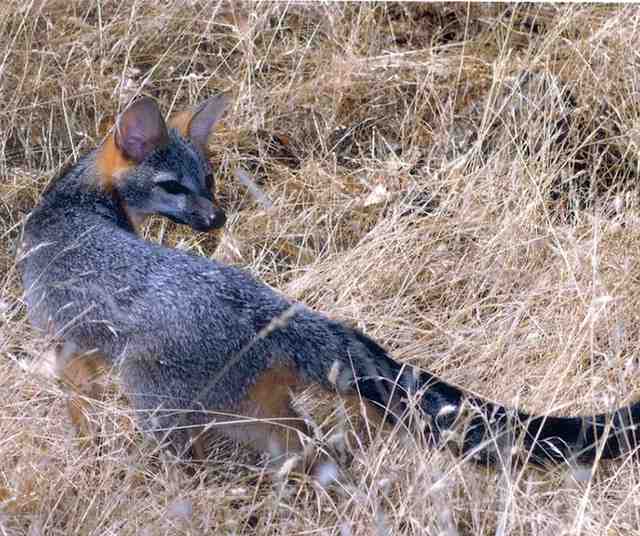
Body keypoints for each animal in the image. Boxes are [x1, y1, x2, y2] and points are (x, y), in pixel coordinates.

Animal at [18, 93, 640, 474]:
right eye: (175, 186)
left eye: (208, 180)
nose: (217, 219)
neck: (76, 205)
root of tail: (264, 308)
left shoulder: (65, 345)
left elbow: (75, 407)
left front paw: (84, 445)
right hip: (260, 411)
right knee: (313, 452)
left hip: (165, 409)